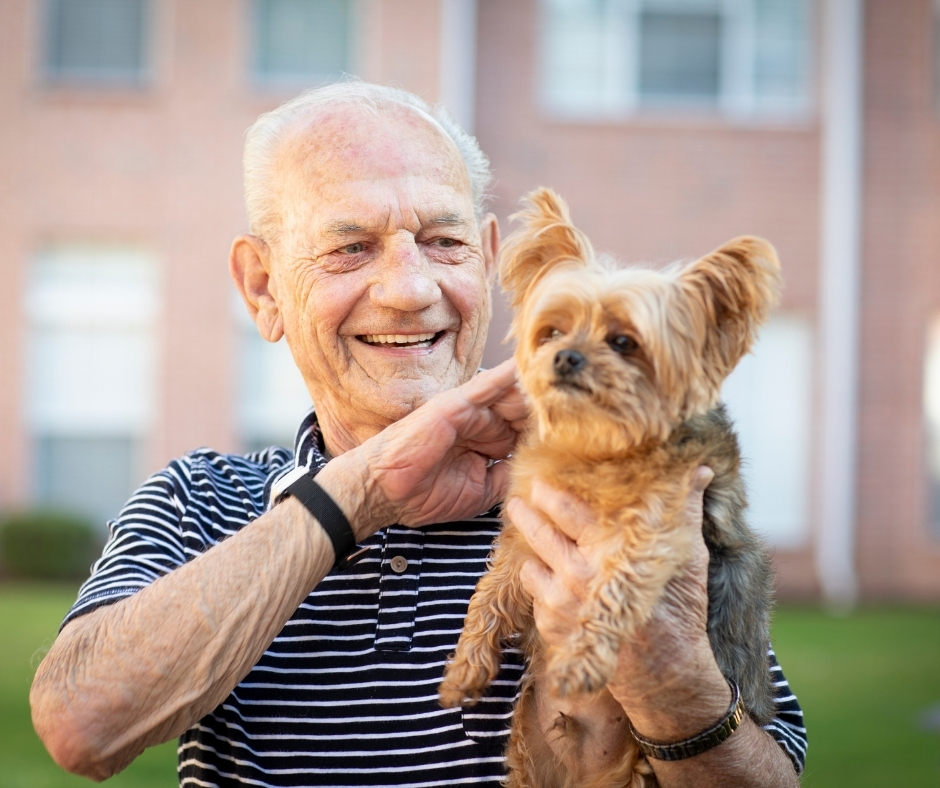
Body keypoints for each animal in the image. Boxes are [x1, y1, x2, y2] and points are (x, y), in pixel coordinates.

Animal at [444, 189, 784, 788]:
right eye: (552, 332)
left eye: (624, 342)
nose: (565, 357)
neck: (598, 445)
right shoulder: (525, 534)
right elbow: (490, 592)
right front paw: (465, 667)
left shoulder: (656, 531)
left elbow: (611, 591)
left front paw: (582, 661)